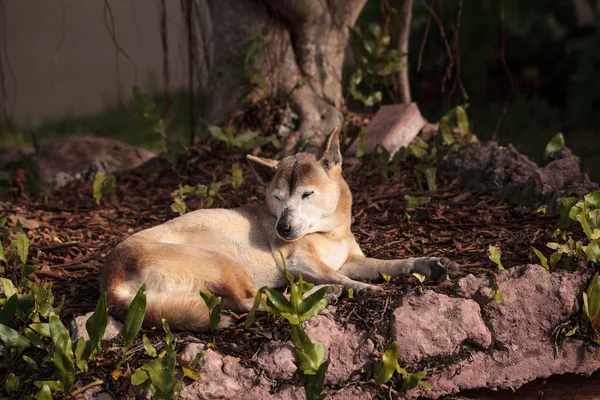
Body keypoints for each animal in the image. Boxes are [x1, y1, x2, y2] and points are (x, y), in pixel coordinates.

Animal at [102, 126, 460, 330]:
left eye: (307, 194)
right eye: (277, 197)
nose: (283, 229)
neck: (330, 233)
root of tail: (111, 283)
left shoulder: (352, 260)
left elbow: (390, 264)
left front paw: (426, 264)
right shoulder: (299, 261)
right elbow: (339, 275)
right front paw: (359, 288)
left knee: (244, 301)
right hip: (224, 262)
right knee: (255, 300)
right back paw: (321, 292)